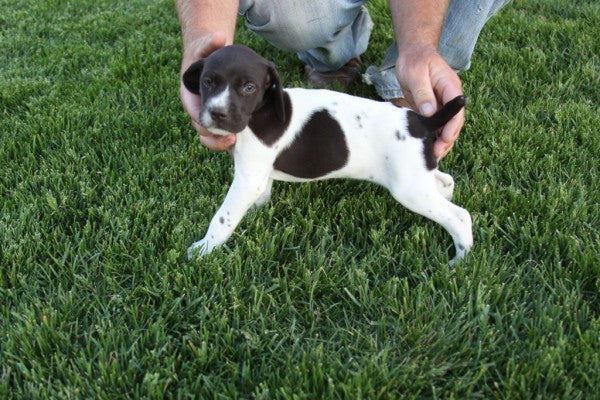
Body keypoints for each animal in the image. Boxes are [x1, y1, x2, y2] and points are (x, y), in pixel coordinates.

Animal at [180, 44, 472, 266]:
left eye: (248, 87)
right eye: (208, 82)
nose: (217, 113)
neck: (261, 111)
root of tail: (422, 121)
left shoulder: (247, 179)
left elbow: (223, 218)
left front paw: (204, 248)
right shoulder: (257, 174)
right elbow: (259, 195)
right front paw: (254, 211)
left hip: (409, 189)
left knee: (459, 216)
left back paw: (460, 260)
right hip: (418, 175)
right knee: (445, 181)